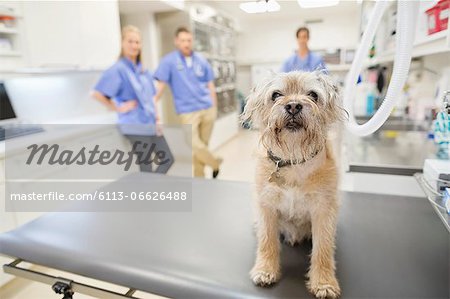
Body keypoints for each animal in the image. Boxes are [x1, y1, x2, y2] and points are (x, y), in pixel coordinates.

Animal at [243, 71, 344, 298]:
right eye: (276, 95)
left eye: (313, 95)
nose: (293, 106)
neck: (294, 160)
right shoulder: (266, 208)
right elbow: (267, 241)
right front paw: (265, 269)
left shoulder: (324, 212)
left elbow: (323, 249)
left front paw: (324, 282)